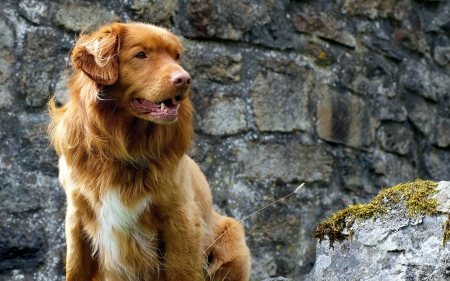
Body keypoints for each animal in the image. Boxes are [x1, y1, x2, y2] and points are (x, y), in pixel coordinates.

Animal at [49, 22, 253, 280]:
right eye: (141, 55)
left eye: (176, 57)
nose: (185, 79)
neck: (125, 145)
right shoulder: (77, 215)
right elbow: (75, 269)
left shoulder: (180, 216)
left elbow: (181, 270)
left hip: (233, 238)